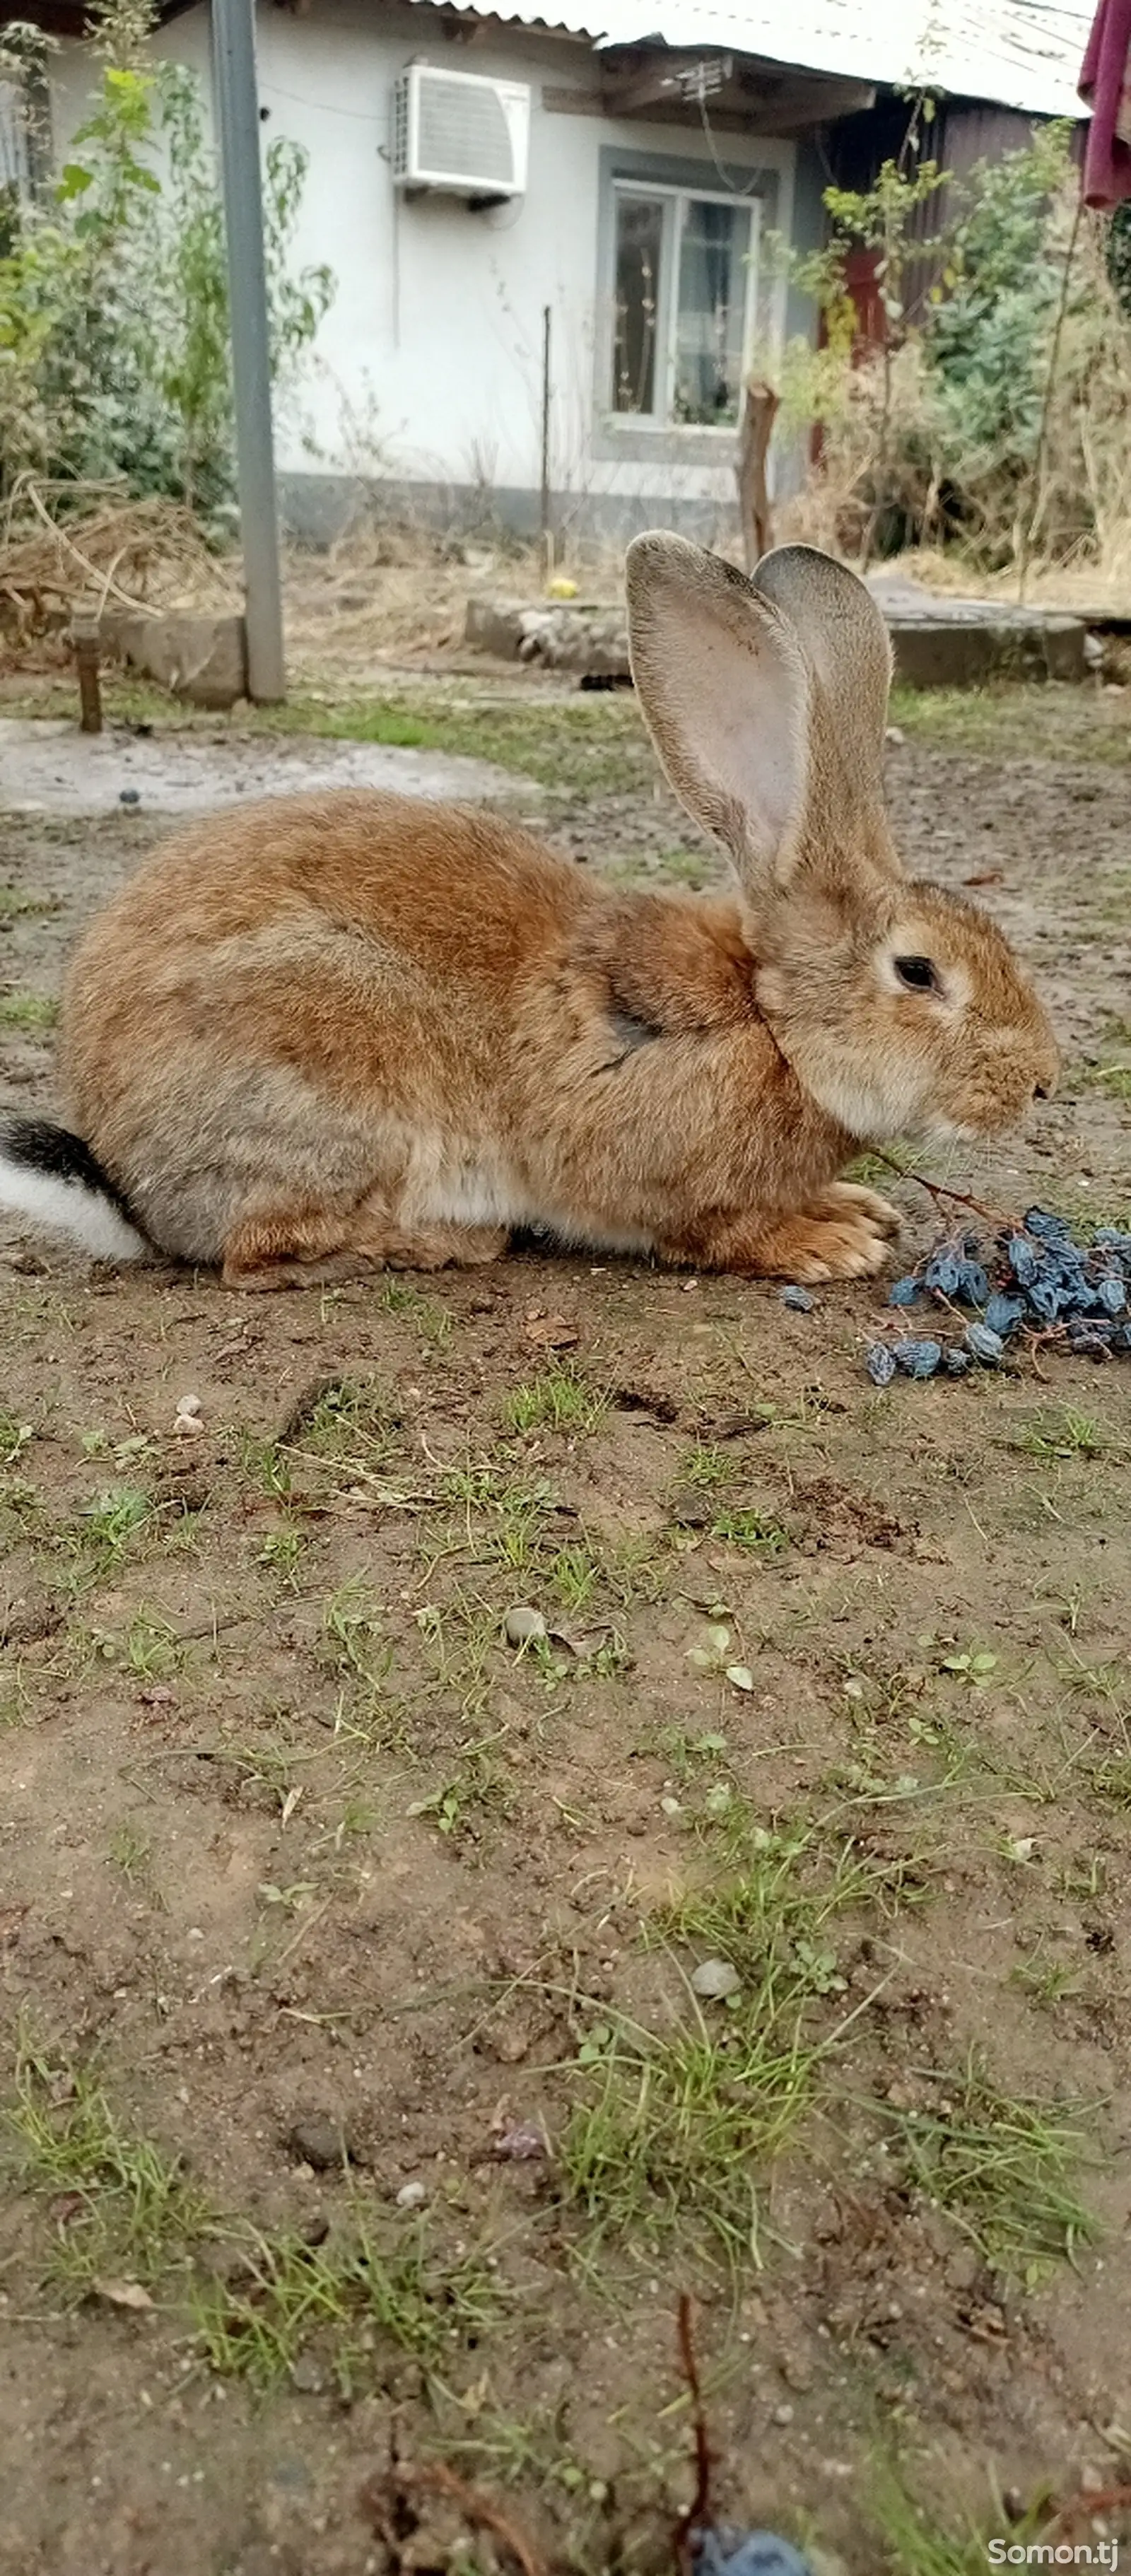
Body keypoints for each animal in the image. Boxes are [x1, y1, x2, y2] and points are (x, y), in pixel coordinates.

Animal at [2, 546, 1061, 1298]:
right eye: (918, 973)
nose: (1043, 1082)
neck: (774, 1024)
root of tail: (130, 1184)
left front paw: (855, 1207)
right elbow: (714, 1230)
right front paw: (828, 1241)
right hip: (333, 1076)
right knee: (255, 1253)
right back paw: (440, 1243)